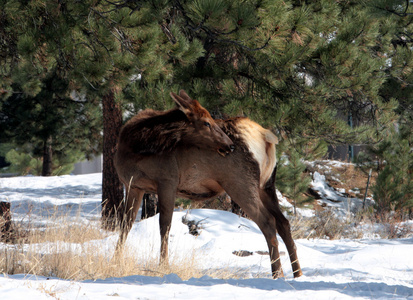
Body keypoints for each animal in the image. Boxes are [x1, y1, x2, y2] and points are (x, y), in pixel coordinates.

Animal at [114, 89, 300, 278]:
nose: (229, 145)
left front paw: (163, 266)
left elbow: (164, 225)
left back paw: (277, 273)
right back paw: (297, 273)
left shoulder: (167, 181)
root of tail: (265, 137)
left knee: (268, 221)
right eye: (206, 123)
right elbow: (125, 224)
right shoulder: (133, 186)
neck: (133, 148)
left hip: (240, 182)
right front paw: (116, 260)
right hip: (267, 185)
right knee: (284, 223)